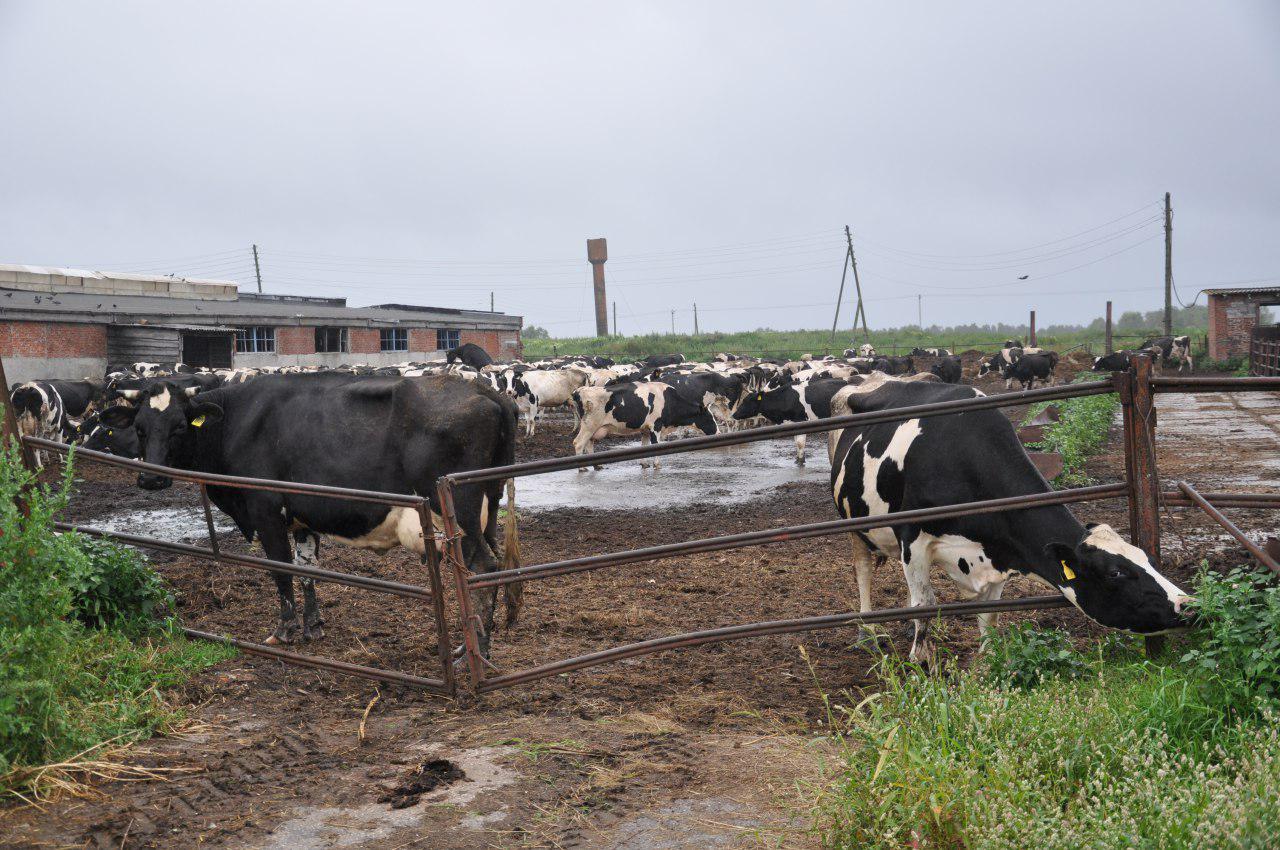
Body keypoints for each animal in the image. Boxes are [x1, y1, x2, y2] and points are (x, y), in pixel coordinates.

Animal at [97, 376, 522, 652]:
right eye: (139, 427)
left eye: (180, 426)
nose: (151, 479)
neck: (236, 422)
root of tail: (488, 393)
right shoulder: (303, 517)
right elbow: (307, 570)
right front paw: (313, 627)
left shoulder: (266, 510)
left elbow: (281, 571)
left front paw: (283, 631)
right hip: (487, 507)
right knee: (497, 565)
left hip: (457, 511)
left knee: (483, 568)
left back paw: (475, 649)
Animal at [829, 378, 1187, 665]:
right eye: (1115, 572)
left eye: (1148, 558)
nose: (1187, 603)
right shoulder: (912, 536)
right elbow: (926, 605)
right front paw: (920, 663)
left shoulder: (1000, 550)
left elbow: (988, 616)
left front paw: (986, 664)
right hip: (854, 525)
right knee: (864, 570)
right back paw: (867, 631)